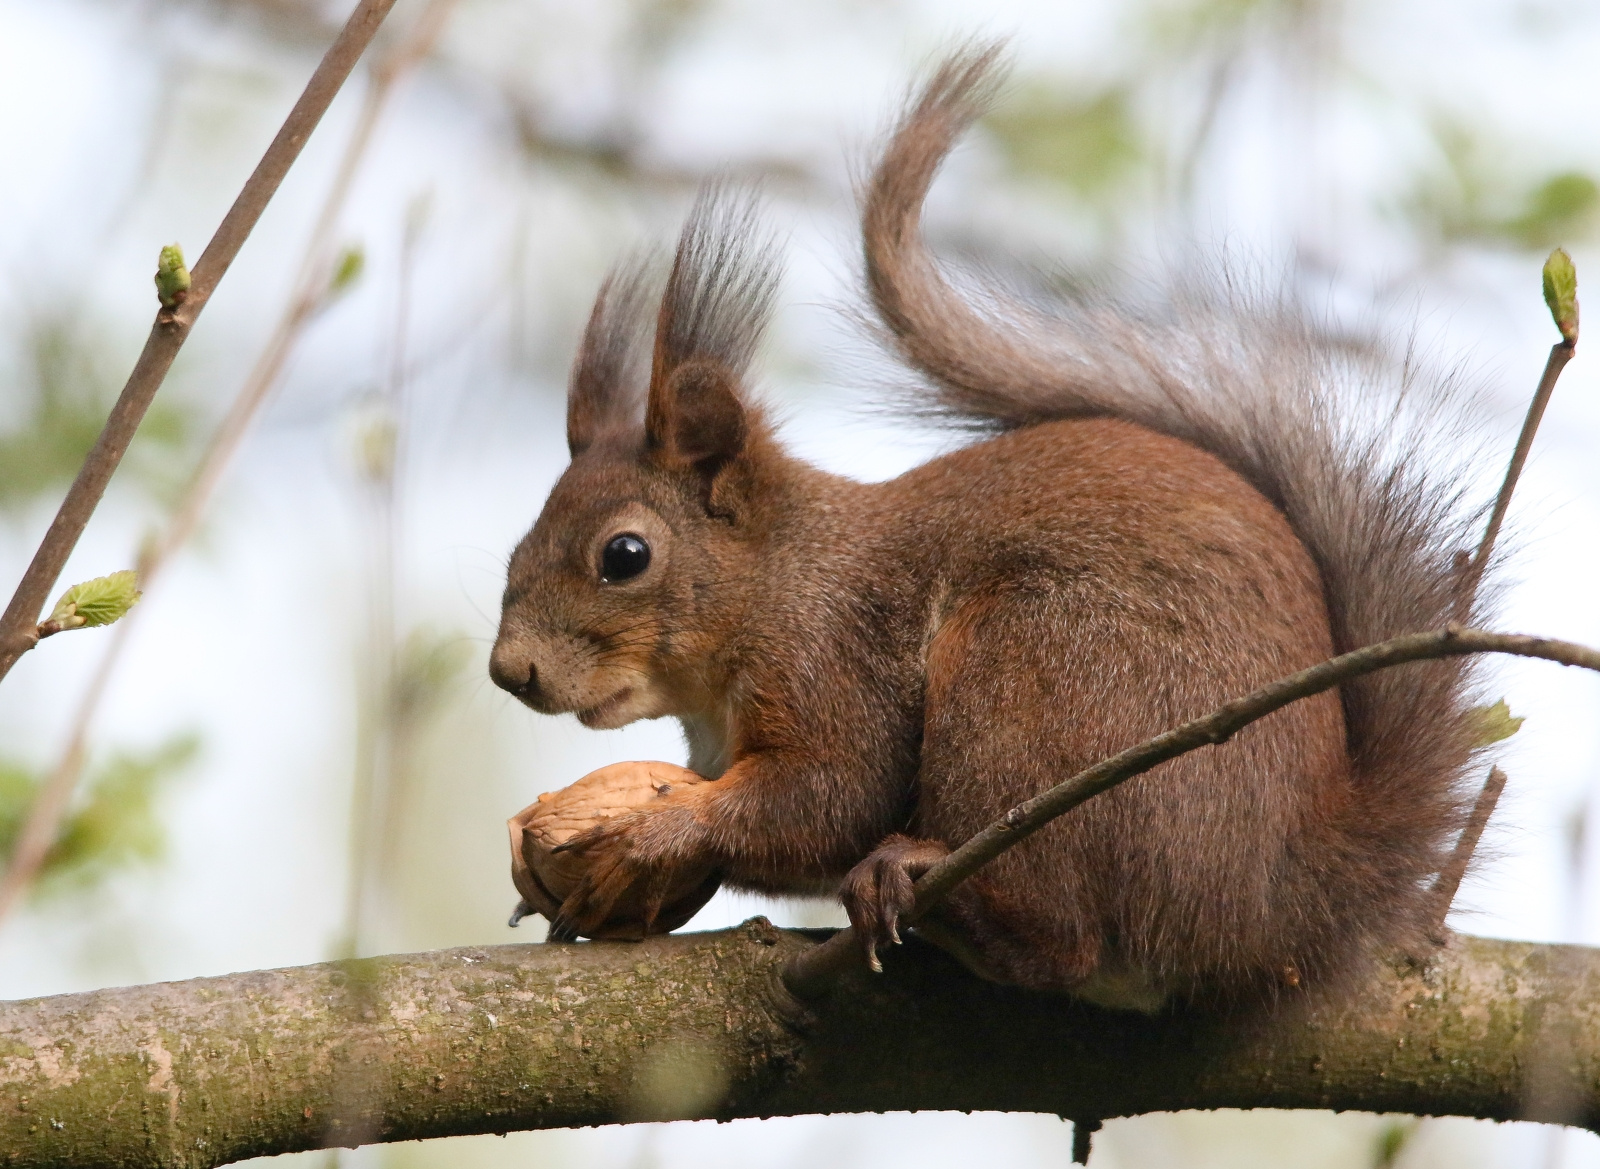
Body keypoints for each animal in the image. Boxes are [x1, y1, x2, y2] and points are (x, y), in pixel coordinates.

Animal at [486, 50, 1484, 1010]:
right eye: (518, 546)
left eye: (625, 555)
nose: (511, 672)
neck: (777, 579)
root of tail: (1279, 909)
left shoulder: (834, 659)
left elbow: (833, 794)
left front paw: (656, 826)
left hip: (1035, 676)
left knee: (1062, 939)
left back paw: (935, 893)